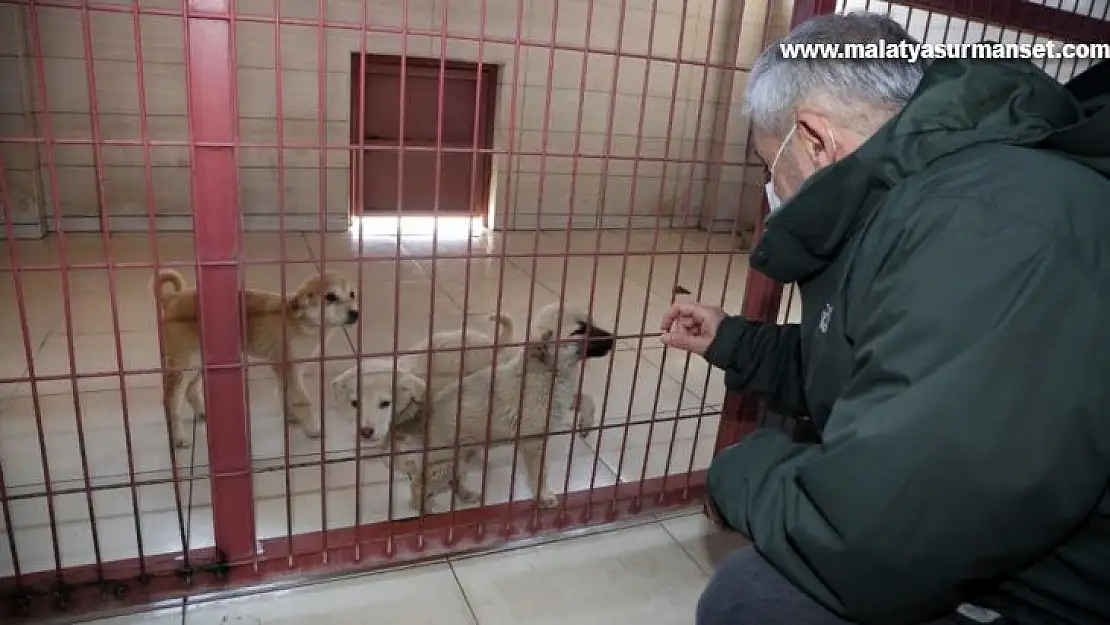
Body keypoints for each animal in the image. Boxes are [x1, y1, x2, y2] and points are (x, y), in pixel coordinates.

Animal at [152, 268, 357, 450]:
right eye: (330, 297)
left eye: (352, 294)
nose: (355, 313)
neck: (300, 321)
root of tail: (173, 298)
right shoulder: (287, 366)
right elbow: (302, 400)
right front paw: (313, 428)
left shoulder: (290, 368)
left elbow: (287, 393)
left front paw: (292, 416)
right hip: (185, 364)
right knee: (171, 401)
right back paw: (179, 437)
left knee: (191, 389)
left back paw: (202, 412)